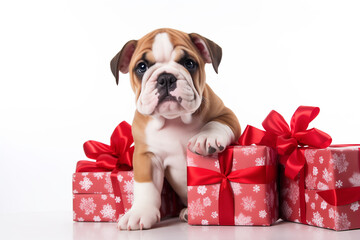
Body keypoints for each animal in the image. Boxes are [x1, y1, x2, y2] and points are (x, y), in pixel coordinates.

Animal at [109, 28, 239, 231]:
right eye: (141, 67)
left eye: (189, 63)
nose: (166, 77)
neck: (174, 120)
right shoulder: (146, 156)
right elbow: (145, 185)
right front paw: (139, 213)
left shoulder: (228, 115)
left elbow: (217, 123)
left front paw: (205, 138)